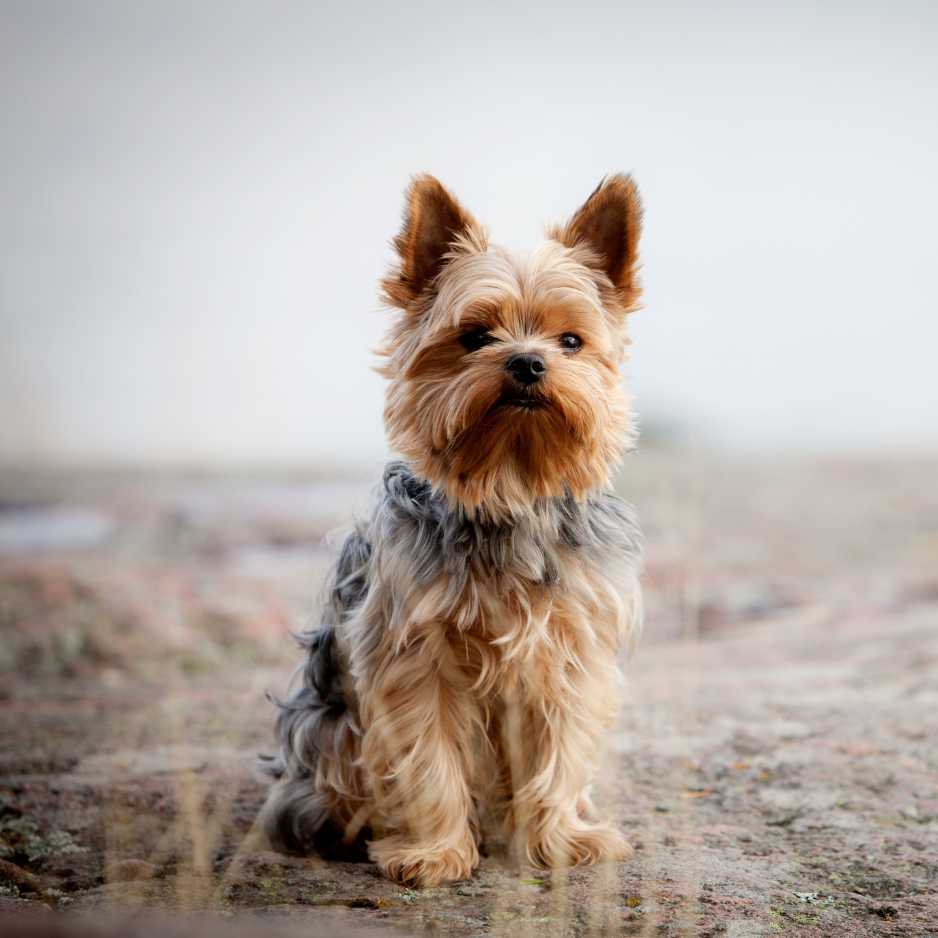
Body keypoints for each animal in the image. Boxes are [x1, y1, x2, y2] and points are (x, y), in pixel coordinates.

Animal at [262, 176, 644, 884]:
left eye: (570, 342)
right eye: (475, 336)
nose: (527, 363)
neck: (509, 486)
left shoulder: (567, 651)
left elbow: (560, 748)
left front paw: (560, 839)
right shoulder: (414, 657)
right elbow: (428, 756)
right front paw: (434, 853)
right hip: (329, 728)